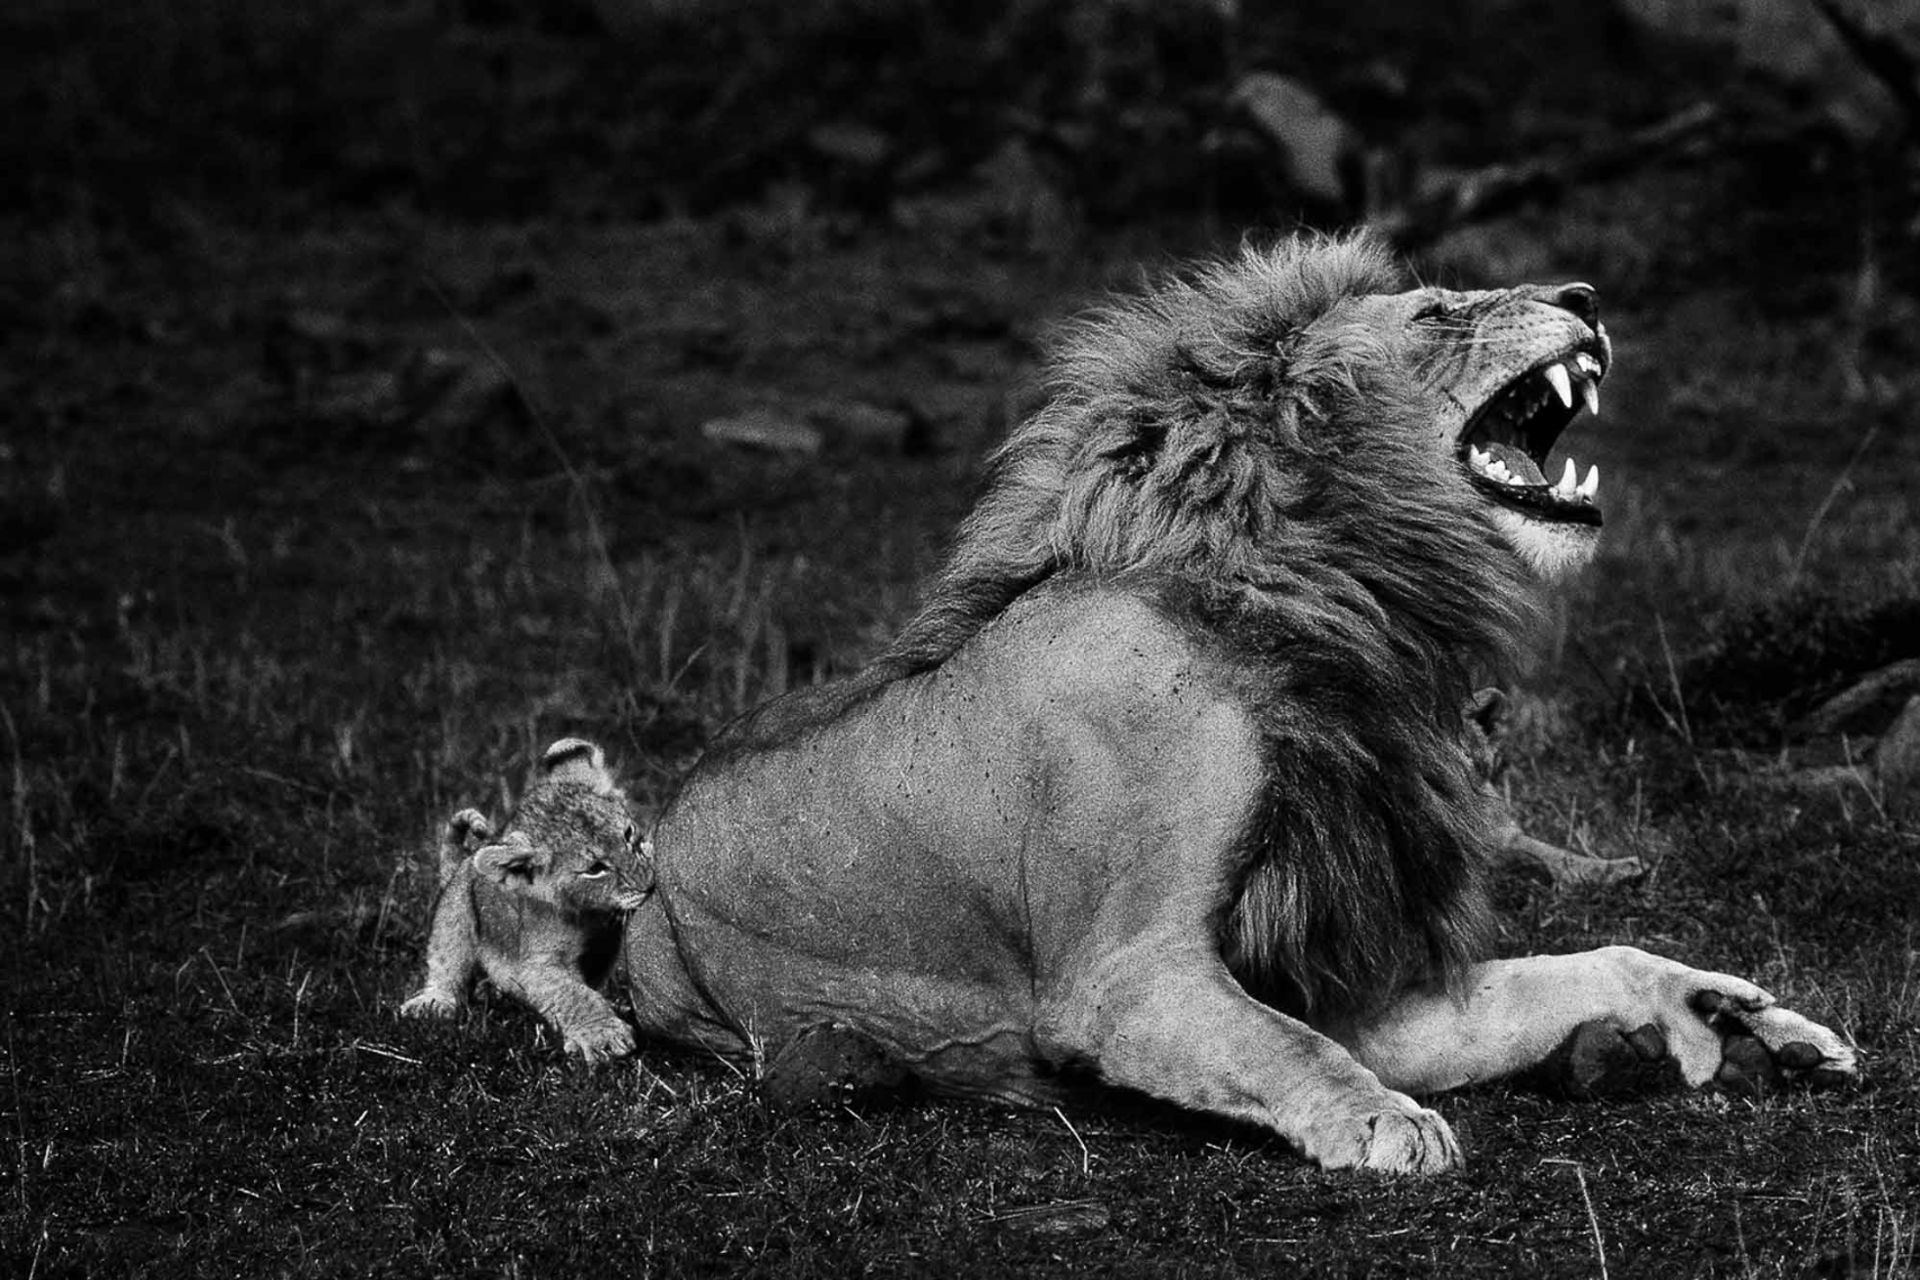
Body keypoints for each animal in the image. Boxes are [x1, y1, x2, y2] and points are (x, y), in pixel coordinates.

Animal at [397, 736, 652, 1066]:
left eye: (628, 834)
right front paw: (602, 1036)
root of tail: (462, 862)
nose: (649, 884)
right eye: (595, 869)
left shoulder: (602, 947)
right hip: (454, 917)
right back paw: (434, 1002)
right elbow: (573, 994)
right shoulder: (534, 965)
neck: (588, 916)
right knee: (446, 963)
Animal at [622, 230, 1850, 1174]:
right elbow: (1288, 1050)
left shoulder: (1335, 962)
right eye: (1438, 311)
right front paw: (1387, 1121)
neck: (1345, 595)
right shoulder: (1125, 975)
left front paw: (1737, 1019)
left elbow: (1593, 961)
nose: (1587, 298)